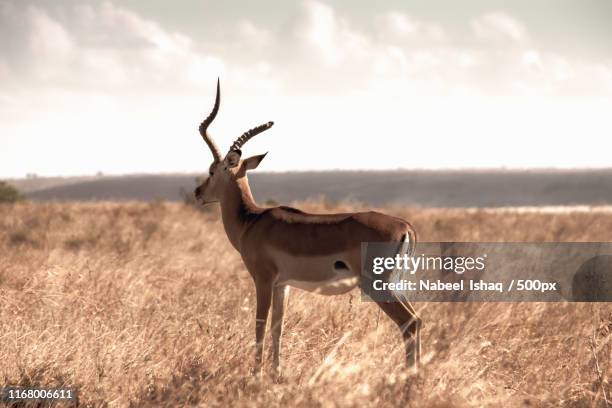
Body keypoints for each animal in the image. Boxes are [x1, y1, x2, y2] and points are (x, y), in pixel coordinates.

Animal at [195, 79, 420, 376]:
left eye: (212, 171)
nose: (198, 193)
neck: (252, 221)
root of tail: (405, 226)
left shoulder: (263, 280)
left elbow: (259, 325)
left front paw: (255, 374)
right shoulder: (283, 285)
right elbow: (278, 327)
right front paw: (276, 373)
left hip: (378, 286)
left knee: (409, 322)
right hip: (394, 284)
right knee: (416, 320)